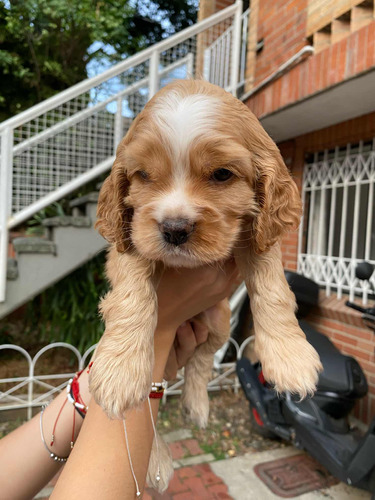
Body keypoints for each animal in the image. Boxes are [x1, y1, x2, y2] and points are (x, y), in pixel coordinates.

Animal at [89, 80, 324, 490]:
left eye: (221, 175)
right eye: (143, 175)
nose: (174, 229)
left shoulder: (257, 237)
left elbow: (274, 290)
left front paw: (290, 358)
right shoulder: (127, 240)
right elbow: (133, 295)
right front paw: (119, 368)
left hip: (217, 324)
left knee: (199, 362)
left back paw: (197, 405)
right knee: (149, 394)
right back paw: (156, 458)